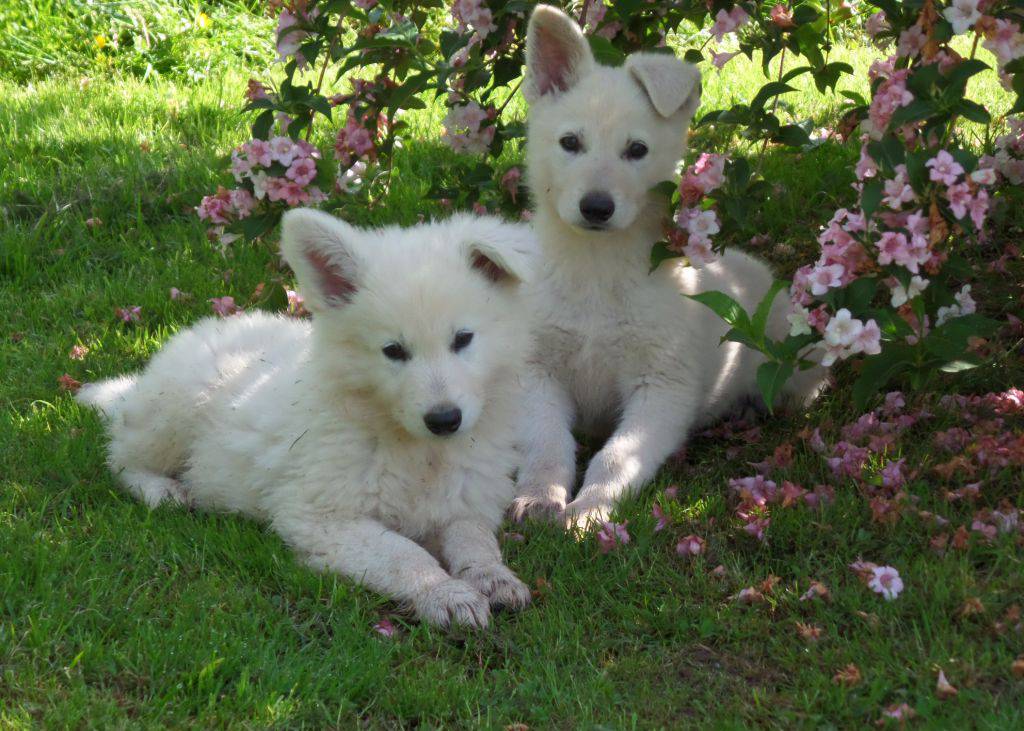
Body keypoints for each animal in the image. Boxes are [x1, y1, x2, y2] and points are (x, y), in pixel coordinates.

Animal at [79, 208, 536, 626]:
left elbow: (474, 539)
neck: (418, 451)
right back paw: (163, 490)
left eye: (463, 339)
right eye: (393, 351)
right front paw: (445, 594)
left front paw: (493, 577)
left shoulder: (464, 502)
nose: (444, 420)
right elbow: (403, 553)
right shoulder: (319, 517)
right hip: (171, 414)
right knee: (121, 457)